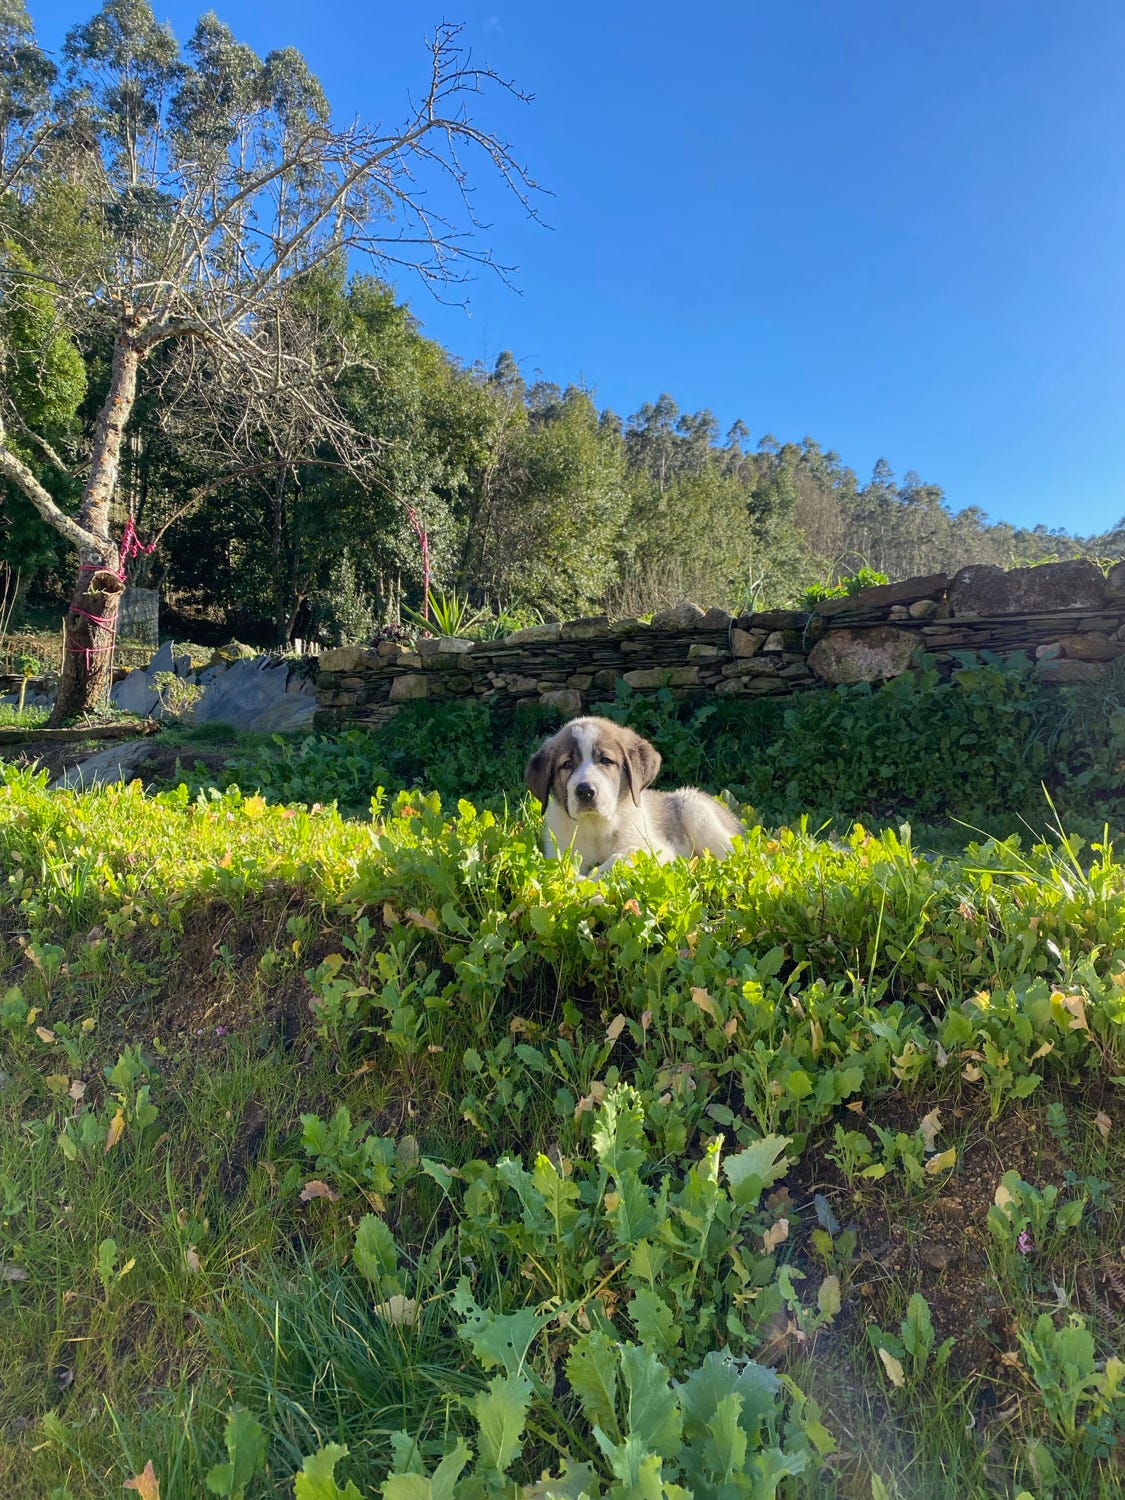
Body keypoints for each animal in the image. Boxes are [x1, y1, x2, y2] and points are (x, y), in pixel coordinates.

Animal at [524, 715, 743, 876]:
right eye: (567, 764)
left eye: (606, 760)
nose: (585, 791)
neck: (597, 827)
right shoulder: (559, 855)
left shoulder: (658, 849)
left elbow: (621, 857)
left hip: (697, 811)